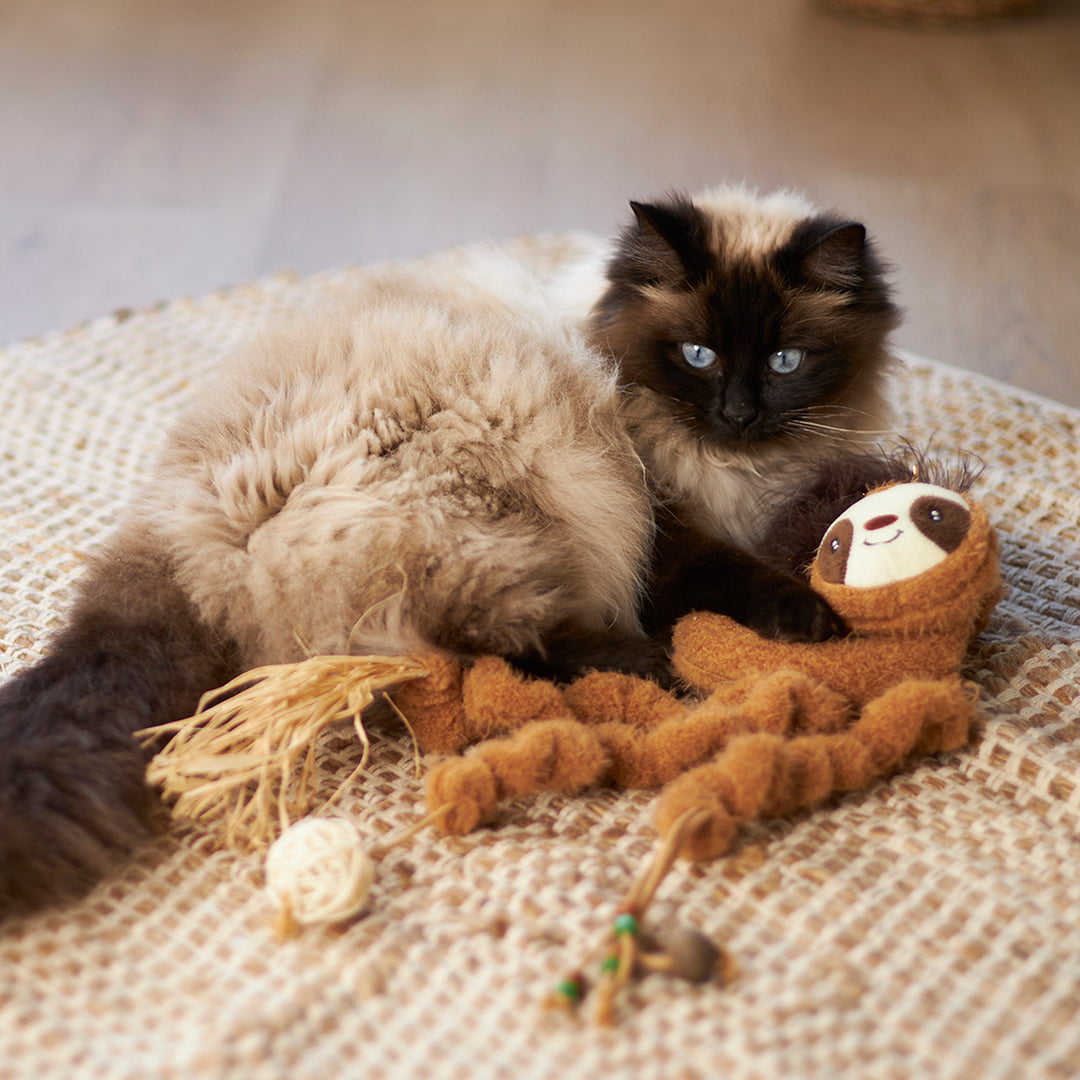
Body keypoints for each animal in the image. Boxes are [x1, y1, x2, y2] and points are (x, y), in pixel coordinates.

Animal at [0, 183, 894, 911]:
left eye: (785, 360)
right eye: (698, 356)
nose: (738, 414)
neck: (735, 469)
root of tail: (176, 529)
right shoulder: (662, 522)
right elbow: (737, 572)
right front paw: (810, 616)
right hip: (536, 508)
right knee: (475, 653)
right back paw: (651, 668)